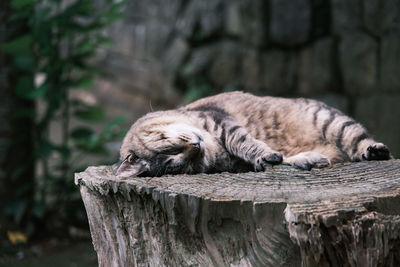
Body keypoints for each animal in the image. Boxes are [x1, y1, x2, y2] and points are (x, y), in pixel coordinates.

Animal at [115, 91, 390, 178]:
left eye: (170, 148)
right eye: (176, 164)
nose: (196, 145)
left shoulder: (221, 121)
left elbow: (245, 141)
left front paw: (266, 154)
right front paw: (274, 159)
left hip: (330, 120)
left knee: (358, 141)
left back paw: (374, 150)